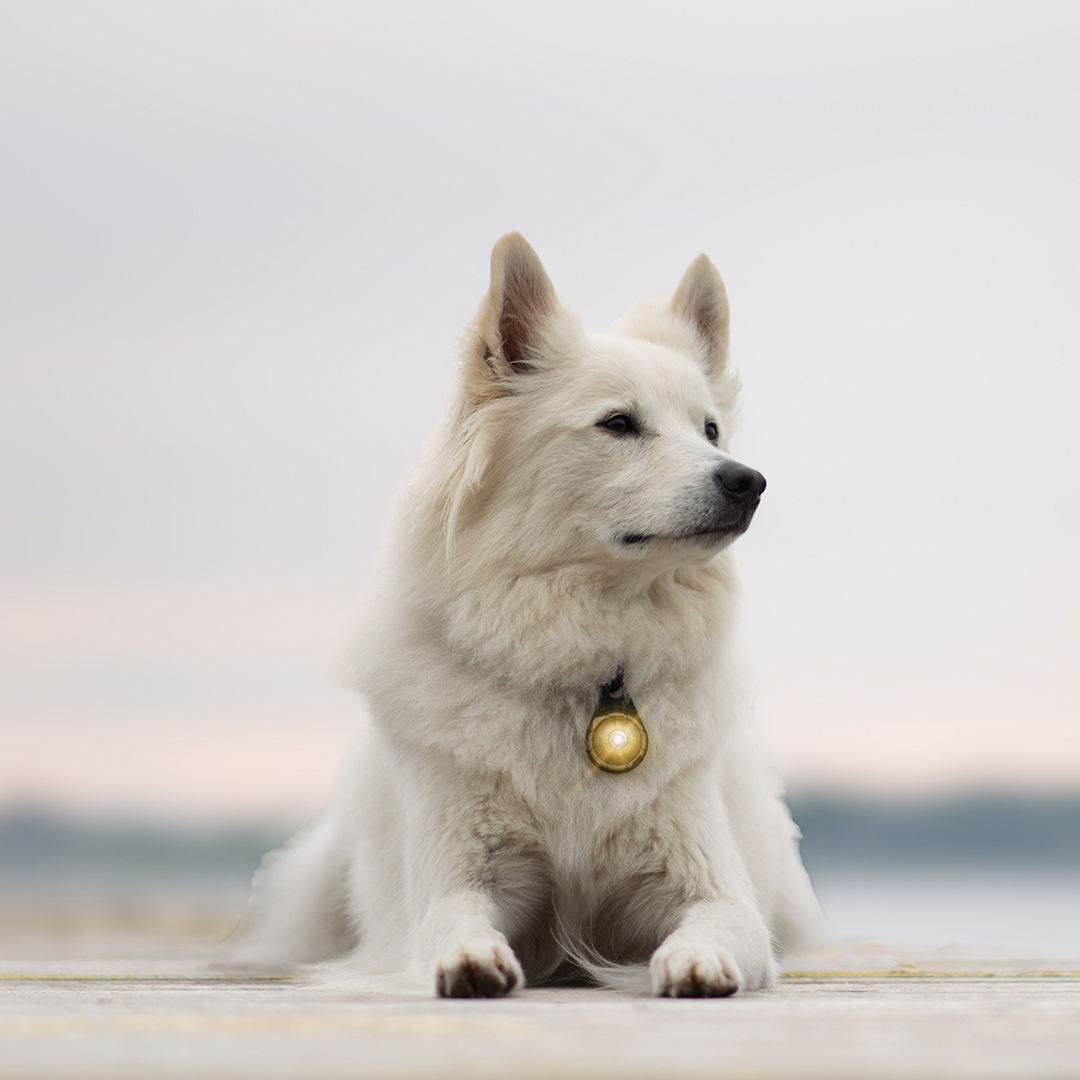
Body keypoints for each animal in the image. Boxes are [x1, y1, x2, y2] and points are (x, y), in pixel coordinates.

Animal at [238, 234, 816, 993]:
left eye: (711, 430)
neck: (588, 661)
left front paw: (697, 959)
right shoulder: (460, 873)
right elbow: (449, 921)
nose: (748, 481)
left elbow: (721, 925)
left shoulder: (711, 881)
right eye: (619, 423)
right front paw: (467, 959)